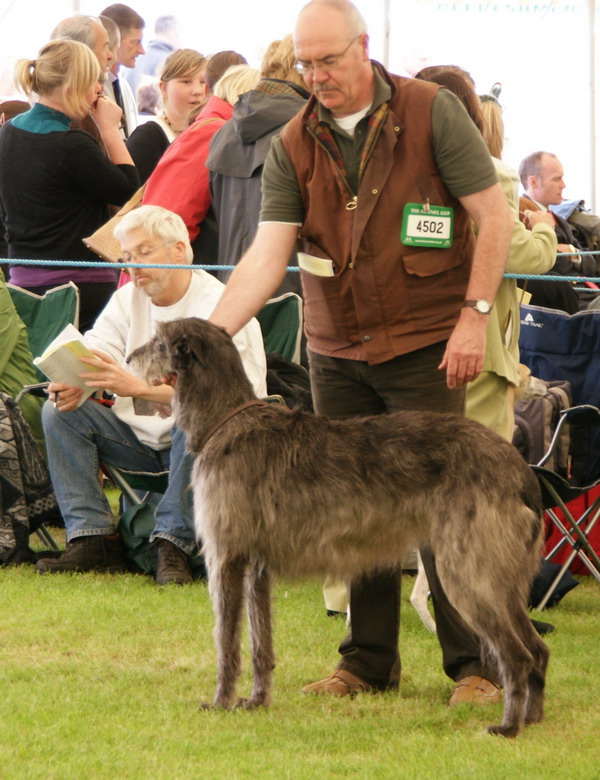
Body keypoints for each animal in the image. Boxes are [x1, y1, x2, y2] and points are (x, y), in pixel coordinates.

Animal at [130, 316, 548, 736]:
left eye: (158, 340)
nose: (130, 357)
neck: (226, 421)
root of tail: (519, 469)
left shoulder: (227, 557)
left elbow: (226, 641)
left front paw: (220, 703)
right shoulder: (256, 567)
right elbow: (260, 641)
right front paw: (256, 701)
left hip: (467, 571)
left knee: (517, 655)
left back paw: (508, 727)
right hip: (500, 578)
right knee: (538, 649)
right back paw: (532, 719)